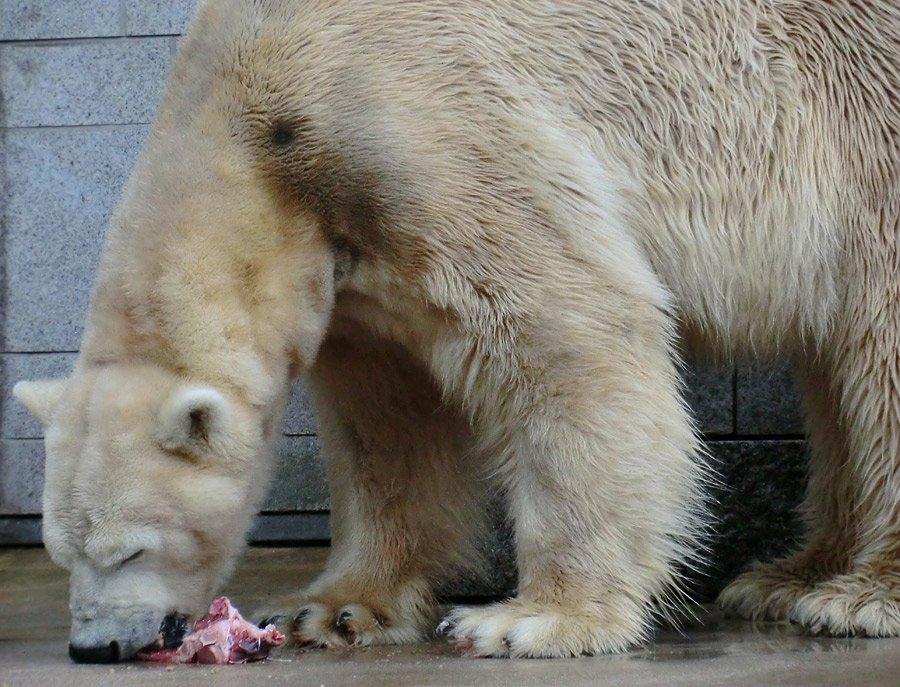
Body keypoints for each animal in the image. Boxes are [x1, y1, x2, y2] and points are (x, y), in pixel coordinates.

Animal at [10, 0, 900, 664]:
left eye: (130, 548)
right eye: (60, 548)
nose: (95, 646)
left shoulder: (422, 135)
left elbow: (570, 328)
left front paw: (529, 617)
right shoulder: (345, 260)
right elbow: (387, 420)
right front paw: (334, 608)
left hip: (860, 113)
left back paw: (858, 596)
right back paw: (789, 577)